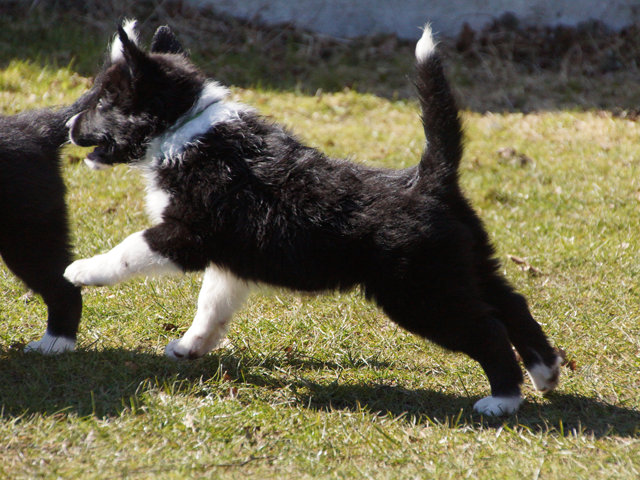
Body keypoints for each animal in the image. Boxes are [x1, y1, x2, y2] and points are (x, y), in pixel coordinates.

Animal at [63, 20, 562, 415]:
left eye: (105, 101)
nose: (68, 126)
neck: (184, 129)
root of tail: (427, 179)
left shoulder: (187, 235)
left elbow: (128, 250)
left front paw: (82, 270)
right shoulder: (231, 261)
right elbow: (212, 305)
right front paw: (190, 346)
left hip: (420, 295)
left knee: (489, 329)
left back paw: (503, 399)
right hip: (467, 265)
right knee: (512, 304)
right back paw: (546, 372)